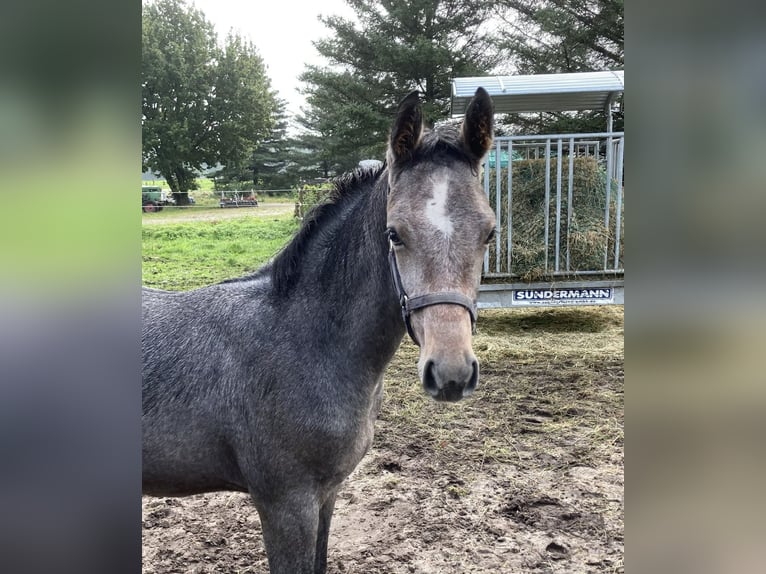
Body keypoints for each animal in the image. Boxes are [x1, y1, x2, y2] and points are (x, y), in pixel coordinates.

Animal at [142, 86, 498, 574]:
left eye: (489, 233)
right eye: (394, 234)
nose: (451, 374)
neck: (304, 339)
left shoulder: (326, 495)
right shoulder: (286, 504)